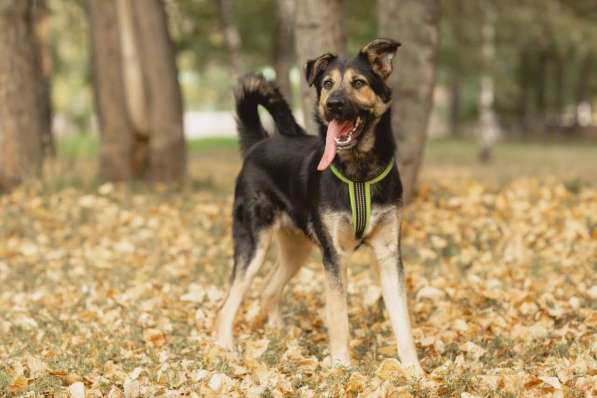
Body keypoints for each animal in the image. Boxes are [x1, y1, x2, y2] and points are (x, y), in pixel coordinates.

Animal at [214, 38, 424, 374]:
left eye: (358, 83)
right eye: (327, 84)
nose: (333, 105)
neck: (359, 171)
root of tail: (258, 143)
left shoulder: (389, 254)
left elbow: (402, 320)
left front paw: (415, 371)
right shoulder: (334, 257)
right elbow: (338, 317)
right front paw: (341, 366)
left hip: (296, 250)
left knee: (267, 290)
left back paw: (278, 337)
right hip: (254, 244)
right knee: (226, 304)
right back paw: (224, 351)